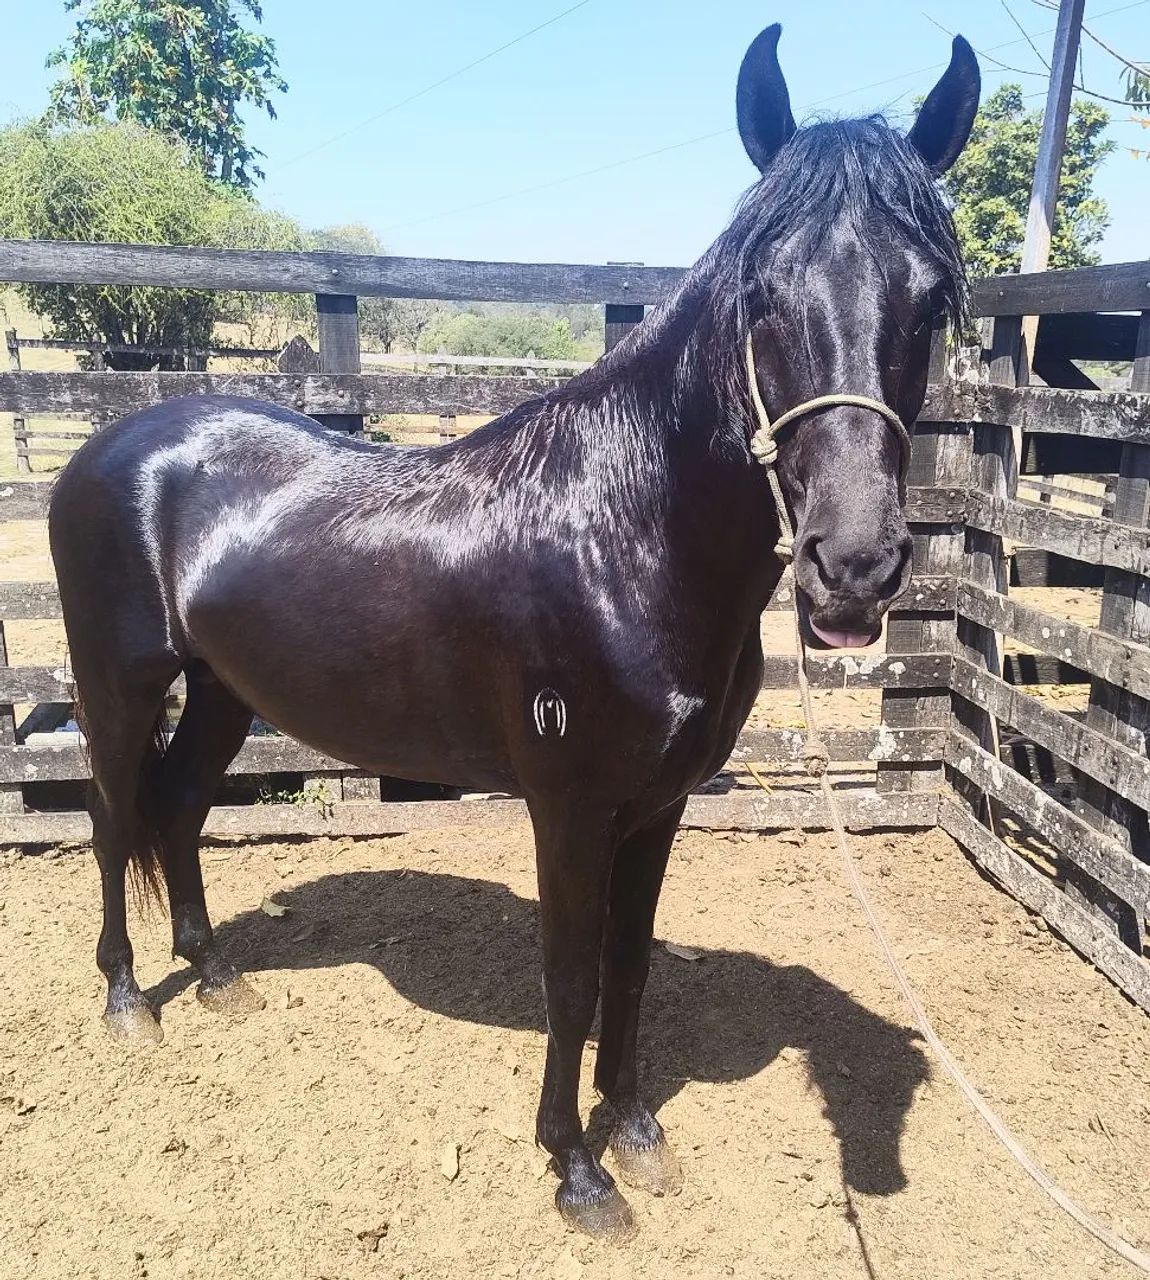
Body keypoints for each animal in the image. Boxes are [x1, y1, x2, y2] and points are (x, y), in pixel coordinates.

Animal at [49, 24, 978, 1242]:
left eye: (932, 301)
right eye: (762, 292)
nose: (854, 567)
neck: (625, 536)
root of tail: (108, 449)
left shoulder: (657, 805)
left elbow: (630, 966)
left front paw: (637, 1131)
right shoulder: (570, 806)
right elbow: (572, 976)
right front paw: (576, 1170)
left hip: (223, 691)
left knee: (180, 808)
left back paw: (212, 977)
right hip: (119, 685)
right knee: (116, 818)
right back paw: (126, 998)